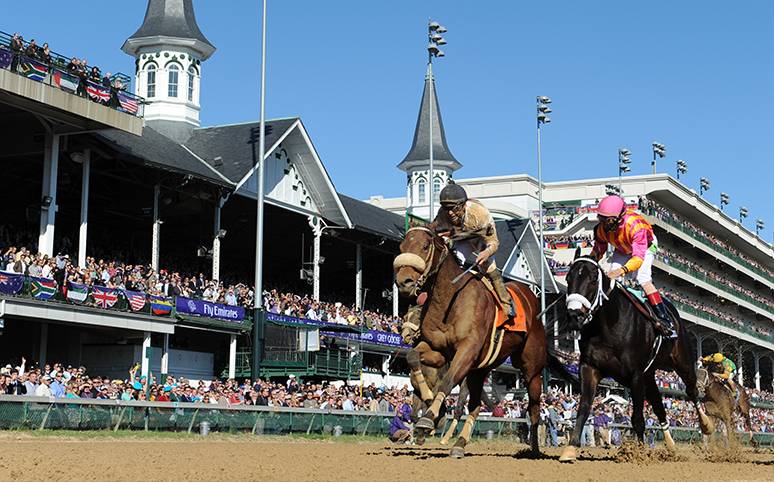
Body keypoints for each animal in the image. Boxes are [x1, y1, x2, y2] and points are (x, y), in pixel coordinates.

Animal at [398, 226, 548, 456]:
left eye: (424, 246)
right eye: (401, 246)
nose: (403, 281)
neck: (450, 301)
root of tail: (530, 296)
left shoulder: (467, 350)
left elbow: (448, 381)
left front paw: (430, 417)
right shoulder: (437, 350)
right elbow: (413, 356)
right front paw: (430, 404)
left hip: (532, 369)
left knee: (533, 407)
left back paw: (534, 450)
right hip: (480, 370)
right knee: (475, 406)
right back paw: (459, 443)